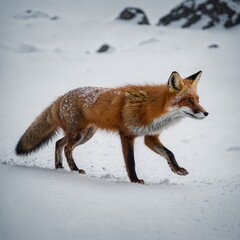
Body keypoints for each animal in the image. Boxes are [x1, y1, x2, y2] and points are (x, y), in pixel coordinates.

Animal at [15, 71, 208, 184]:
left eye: (197, 99)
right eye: (187, 100)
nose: (206, 113)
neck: (150, 108)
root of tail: (62, 96)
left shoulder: (150, 137)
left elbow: (169, 153)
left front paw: (176, 169)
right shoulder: (127, 135)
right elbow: (131, 162)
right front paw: (135, 180)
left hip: (85, 135)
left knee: (59, 143)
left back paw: (60, 166)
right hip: (78, 135)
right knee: (67, 147)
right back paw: (74, 169)